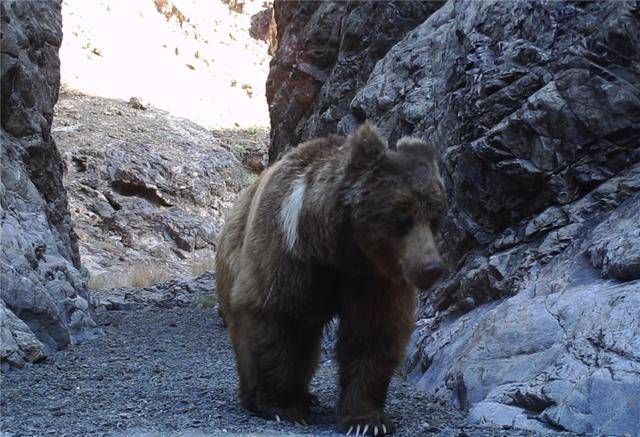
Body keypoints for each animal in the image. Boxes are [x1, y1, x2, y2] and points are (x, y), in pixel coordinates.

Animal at [215, 121, 444, 434]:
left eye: (435, 218)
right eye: (402, 219)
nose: (431, 267)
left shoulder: (375, 277)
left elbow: (372, 331)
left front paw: (367, 420)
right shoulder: (286, 253)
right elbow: (273, 315)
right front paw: (283, 408)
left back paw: (307, 395)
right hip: (232, 265)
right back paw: (259, 397)